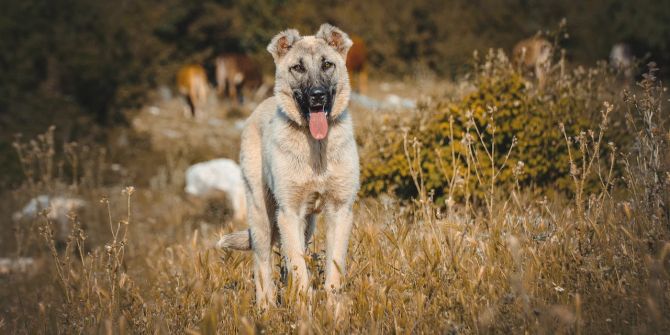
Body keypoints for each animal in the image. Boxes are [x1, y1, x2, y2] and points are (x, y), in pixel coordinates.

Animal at [218, 22, 360, 308]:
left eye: (327, 64)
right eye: (298, 67)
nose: (317, 96)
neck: (316, 148)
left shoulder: (339, 211)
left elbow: (333, 272)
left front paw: (334, 312)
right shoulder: (289, 213)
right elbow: (299, 272)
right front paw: (304, 311)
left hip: (307, 225)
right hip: (261, 215)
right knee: (262, 266)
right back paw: (267, 308)